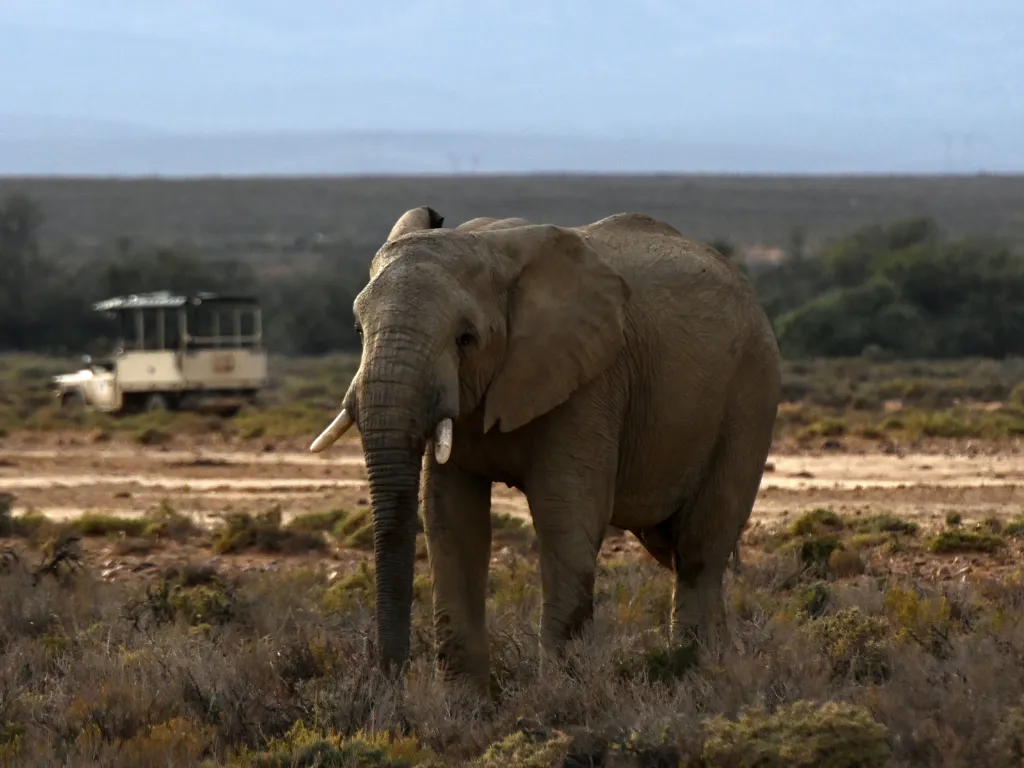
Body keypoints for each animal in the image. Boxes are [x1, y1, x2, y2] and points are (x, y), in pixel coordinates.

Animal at [307, 205, 778, 696]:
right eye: (357, 328)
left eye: (465, 338)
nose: (388, 684)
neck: (488, 248)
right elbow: (451, 519)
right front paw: (466, 703)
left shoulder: (590, 380)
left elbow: (564, 514)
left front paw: (561, 695)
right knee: (678, 549)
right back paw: (722, 665)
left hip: (750, 395)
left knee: (699, 550)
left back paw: (695, 674)